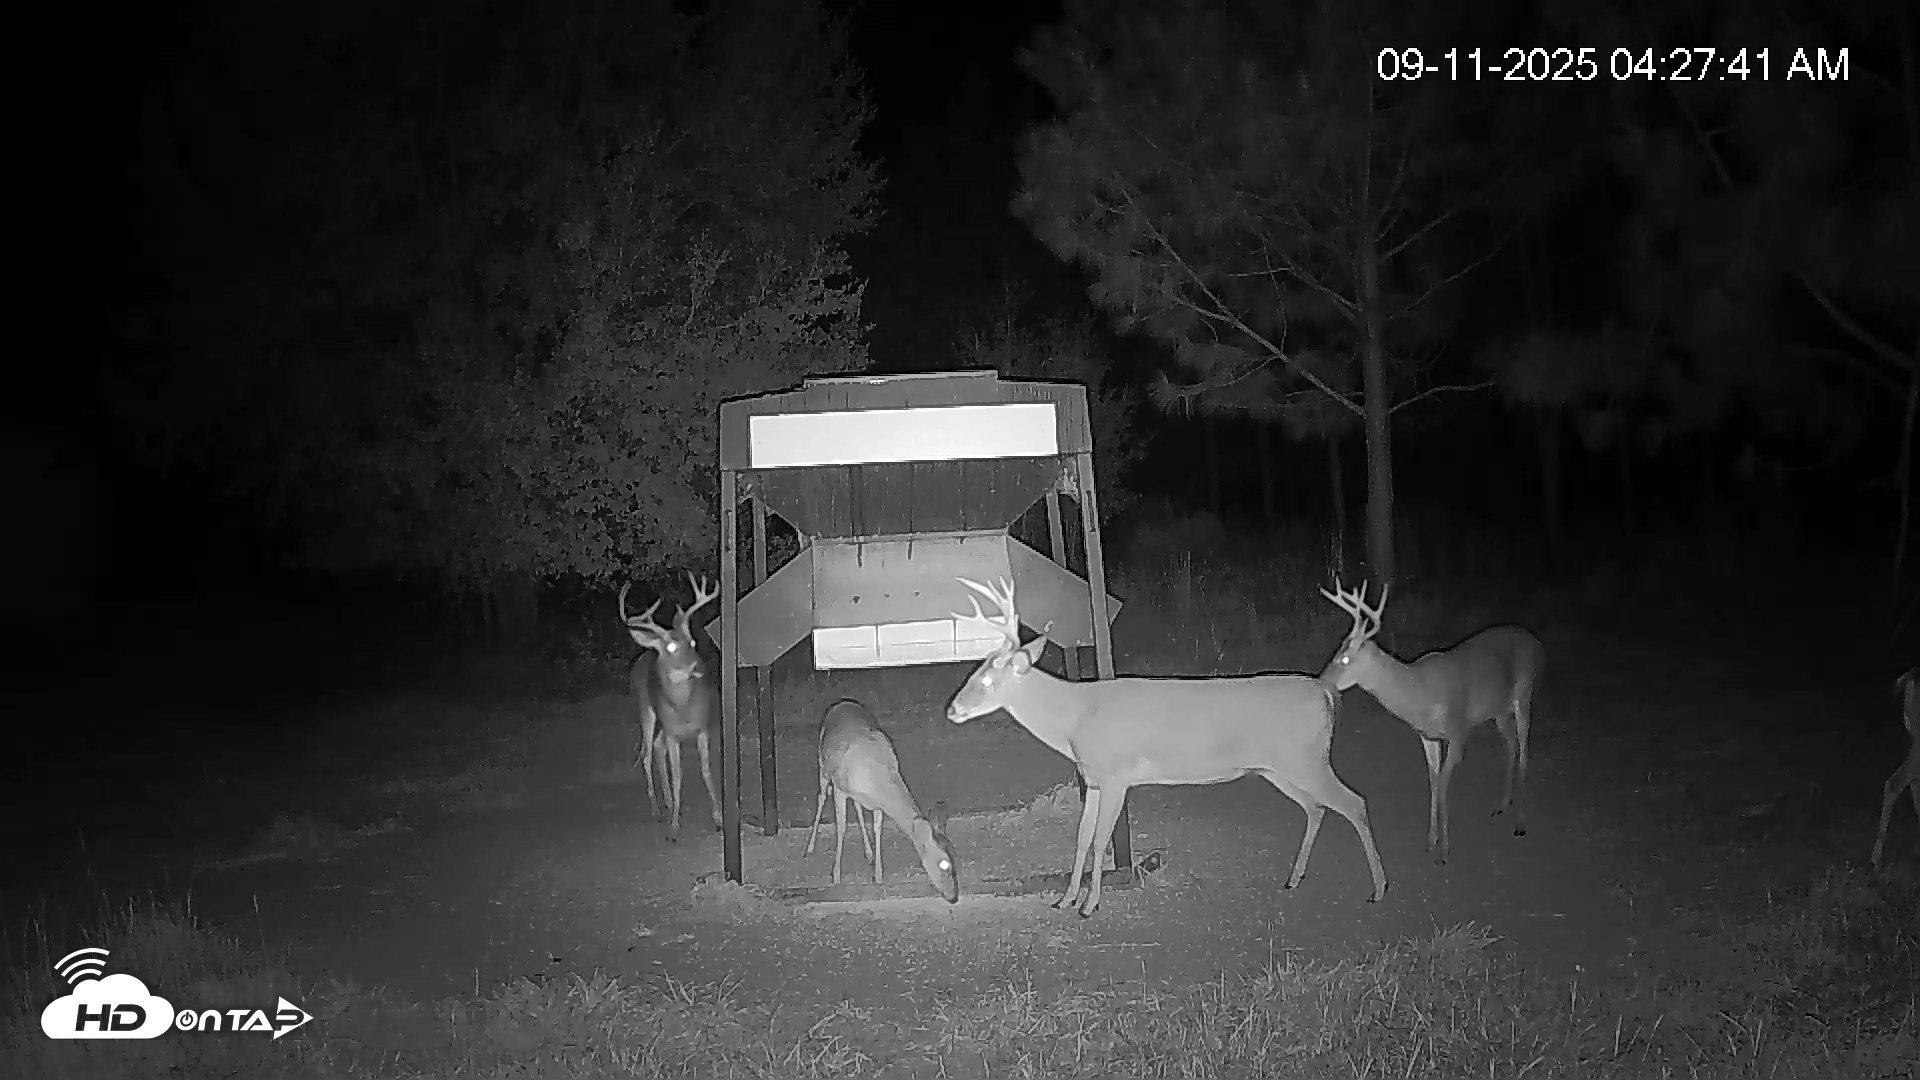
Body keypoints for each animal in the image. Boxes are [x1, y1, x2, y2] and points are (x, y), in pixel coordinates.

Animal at [619, 574, 723, 842]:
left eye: (693, 642)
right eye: (672, 648)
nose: (697, 666)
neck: (684, 708)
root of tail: (645, 653)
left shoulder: (702, 728)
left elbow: (706, 771)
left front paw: (718, 817)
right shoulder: (674, 733)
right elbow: (677, 775)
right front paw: (674, 826)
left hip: (663, 725)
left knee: (657, 748)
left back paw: (666, 804)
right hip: (646, 709)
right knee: (646, 752)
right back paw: (657, 809)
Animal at [804, 699, 960, 902]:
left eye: (955, 860)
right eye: (944, 864)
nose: (953, 896)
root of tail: (841, 703)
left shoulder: (877, 804)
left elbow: (877, 828)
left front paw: (878, 877)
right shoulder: (839, 788)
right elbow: (842, 827)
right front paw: (836, 877)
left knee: (857, 806)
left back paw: (868, 853)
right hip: (823, 764)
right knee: (822, 796)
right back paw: (809, 847)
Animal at [944, 577, 1387, 918]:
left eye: (987, 681)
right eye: (974, 671)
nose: (952, 709)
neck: (1076, 718)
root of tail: (1326, 692)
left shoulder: (1117, 775)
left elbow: (1102, 839)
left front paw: (1090, 905)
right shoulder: (1095, 779)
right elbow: (1082, 838)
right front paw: (1064, 900)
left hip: (1308, 758)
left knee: (1354, 802)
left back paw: (1379, 889)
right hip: (1277, 767)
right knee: (1317, 807)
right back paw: (1294, 879)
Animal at [1319, 580, 1546, 865]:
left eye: (1346, 658)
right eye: (1338, 648)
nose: (1321, 680)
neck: (1421, 694)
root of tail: (1536, 641)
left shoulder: (1458, 731)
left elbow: (1444, 787)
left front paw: (1444, 852)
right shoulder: (1428, 737)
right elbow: (1434, 783)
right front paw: (1431, 841)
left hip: (1524, 692)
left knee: (1525, 750)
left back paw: (1520, 823)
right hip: (1499, 711)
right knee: (1512, 745)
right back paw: (1502, 805)